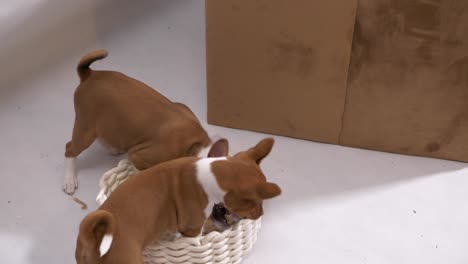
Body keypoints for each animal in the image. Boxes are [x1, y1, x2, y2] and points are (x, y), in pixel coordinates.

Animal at [64, 49, 214, 194]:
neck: (195, 145)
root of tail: (89, 74)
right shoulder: (139, 156)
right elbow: (142, 171)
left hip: (103, 123)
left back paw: (112, 149)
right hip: (86, 129)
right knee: (70, 149)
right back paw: (69, 180)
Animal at [76, 138, 282, 264]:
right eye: (255, 203)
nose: (262, 213)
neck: (209, 173)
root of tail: (94, 237)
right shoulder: (192, 229)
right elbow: (195, 238)